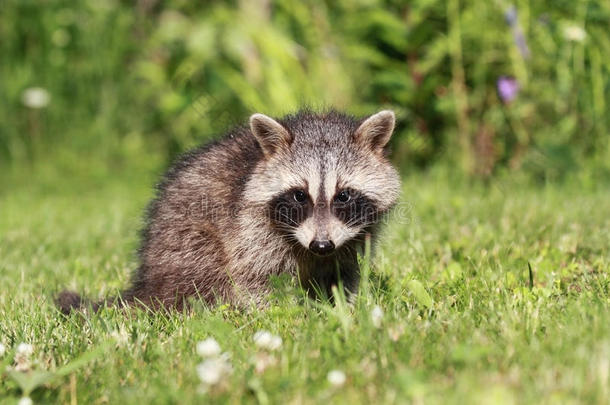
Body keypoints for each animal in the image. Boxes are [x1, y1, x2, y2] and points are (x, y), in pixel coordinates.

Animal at [55, 109, 400, 312]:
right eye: (300, 196)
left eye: (344, 195)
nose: (322, 245)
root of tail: (149, 284)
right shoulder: (250, 228)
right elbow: (255, 277)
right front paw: (289, 316)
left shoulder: (353, 237)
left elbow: (345, 271)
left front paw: (344, 308)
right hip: (183, 246)